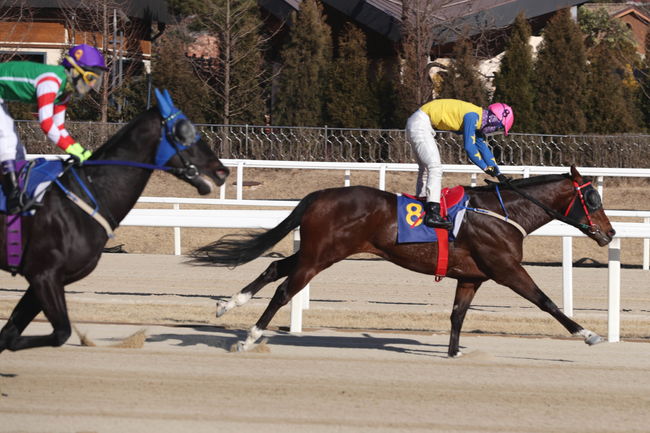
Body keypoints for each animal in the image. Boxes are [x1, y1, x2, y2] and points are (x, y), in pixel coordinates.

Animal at [0, 90, 230, 352]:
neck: (86, 197)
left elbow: (9, 335)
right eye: (183, 131)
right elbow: (59, 333)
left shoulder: (47, 279)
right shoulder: (43, 275)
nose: (222, 171)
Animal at [191, 165, 612, 354]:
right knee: (284, 290)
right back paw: (249, 337)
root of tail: (320, 195)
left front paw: (454, 351)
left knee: (275, 266)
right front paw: (588, 333)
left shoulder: (472, 277)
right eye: (592, 199)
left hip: (316, 250)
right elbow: (546, 301)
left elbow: (457, 315)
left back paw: (228, 304)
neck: (504, 213)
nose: (610, 234)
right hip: (322, 255)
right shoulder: (506, 268)